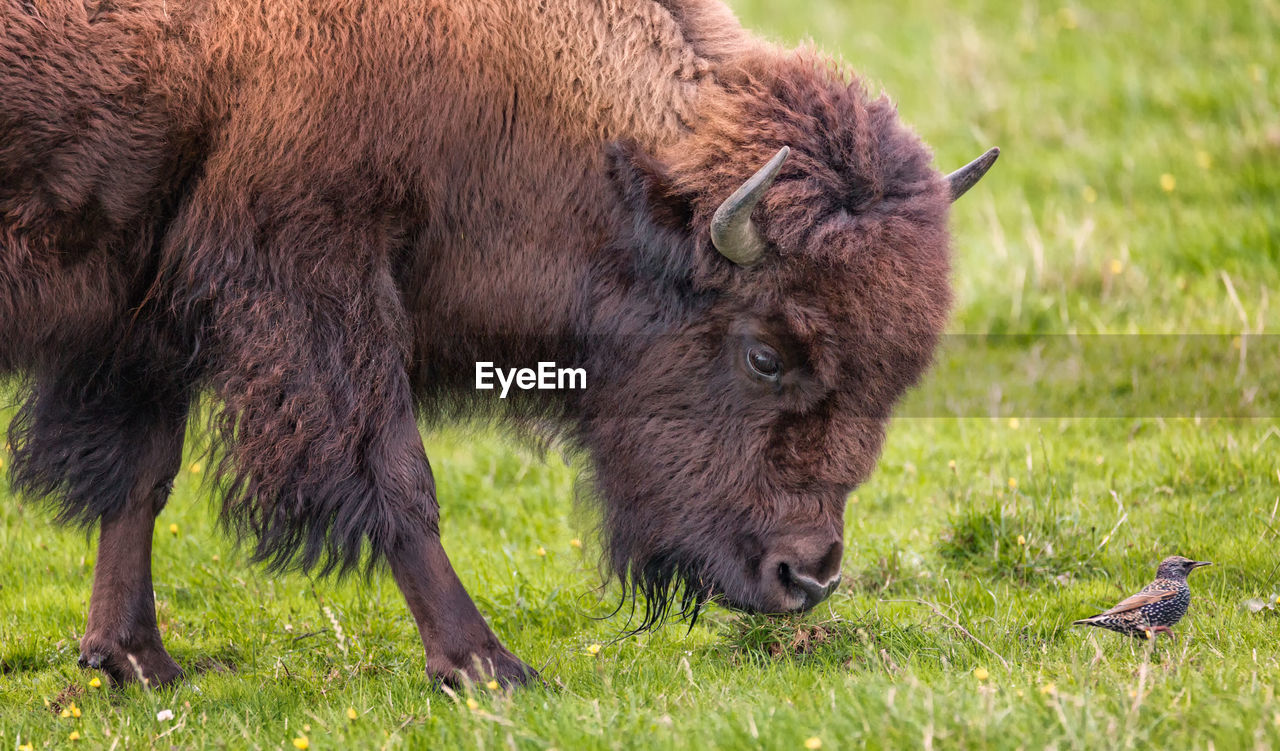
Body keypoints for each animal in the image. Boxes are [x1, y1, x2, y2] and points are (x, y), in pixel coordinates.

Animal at [0, 0, 993, 685]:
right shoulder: (314, 280)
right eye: (764, 354)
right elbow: (396, 476)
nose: (808, 576)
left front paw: (134, 660)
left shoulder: (147, 299)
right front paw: (486, 667)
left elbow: (142, 476)